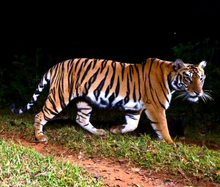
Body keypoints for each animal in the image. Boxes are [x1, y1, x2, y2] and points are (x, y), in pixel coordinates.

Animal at [10, 57, 211, 142]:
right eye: (188, 78)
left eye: (201, 78)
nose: (198, 93)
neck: (171, 78)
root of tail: (56, 65)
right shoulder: (156, 107)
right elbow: (163, 127)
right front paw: (170, 143)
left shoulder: (134, 107)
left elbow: (133, 125)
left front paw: (116, 130)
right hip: (59, 96)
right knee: (39, 115)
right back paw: (40, 137)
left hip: (85, 100)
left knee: (81, 118)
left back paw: (99, 132)